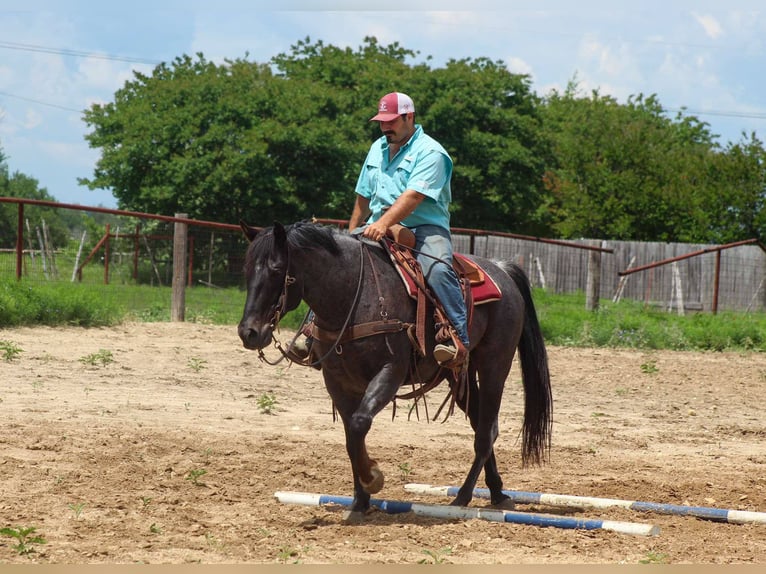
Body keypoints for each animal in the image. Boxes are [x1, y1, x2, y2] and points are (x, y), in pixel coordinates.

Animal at [237, 220, 552, 520]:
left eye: (277, 269)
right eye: (247, 269)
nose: (249, 332)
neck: (353, 296)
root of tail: (502, 269)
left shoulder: (390, 372)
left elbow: (359, 424)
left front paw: (372, 478)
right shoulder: (338, 382)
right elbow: (351, 437)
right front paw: (359, 502)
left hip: (494, 364)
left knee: (486, 431)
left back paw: (461, 498)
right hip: (457, 375)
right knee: (481, 423)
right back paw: (497, 492)